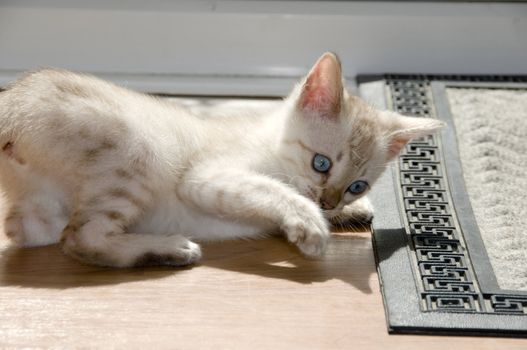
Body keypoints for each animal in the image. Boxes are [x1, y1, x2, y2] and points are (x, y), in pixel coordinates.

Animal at [0, 52, 444, 266]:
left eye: (357, 185)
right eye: (322, 163)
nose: (331, 201)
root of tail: (14, 99)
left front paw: (352, 212)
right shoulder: (205, 177)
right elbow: (275, 190)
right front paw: (310, 223)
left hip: (43, 212)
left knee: (28, 231)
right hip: (138, 152)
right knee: (79, 239)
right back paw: (173, 249)